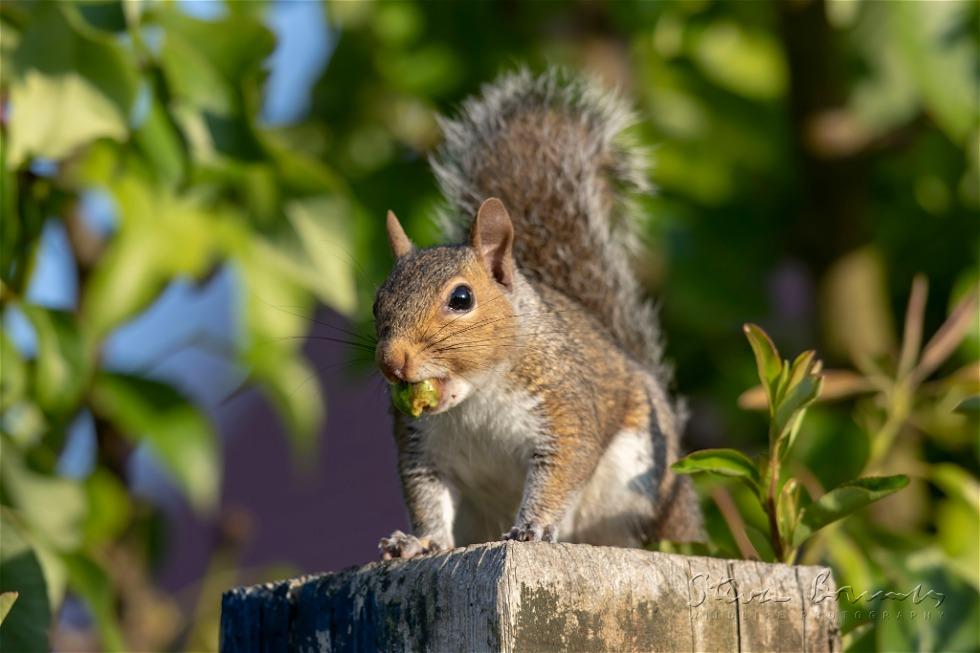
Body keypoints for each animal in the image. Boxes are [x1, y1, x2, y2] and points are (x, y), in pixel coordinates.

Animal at [373, 69, 703, 559]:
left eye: (461, 298)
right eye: (377, 303)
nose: (392, 362)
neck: (476, 398)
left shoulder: (564, 408)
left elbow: (560, 469)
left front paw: (532, 526)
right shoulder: (420, 447)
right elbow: (426, 497)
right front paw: (420, 541)